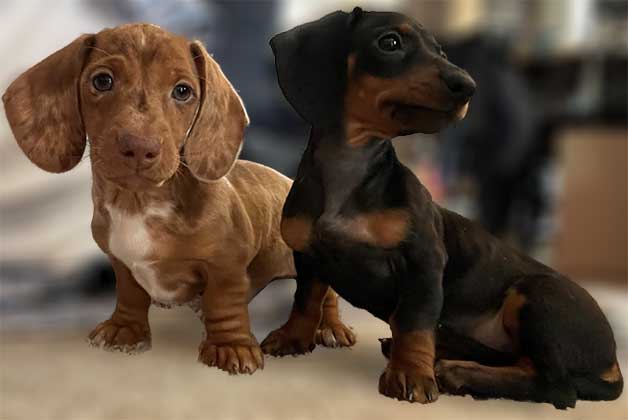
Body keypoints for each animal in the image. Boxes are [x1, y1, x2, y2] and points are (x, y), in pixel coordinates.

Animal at [2, 23, 356, 374]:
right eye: (102, 81)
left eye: (183, 91)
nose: (140, 147)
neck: (139, 203)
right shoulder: (121, 262)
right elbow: (129, 294)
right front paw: (125, 328)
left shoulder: (226, 264)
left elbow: (224, 303)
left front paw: (231, 345)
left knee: (324, 293)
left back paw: (331, 327)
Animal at [260, 7, 624, 406]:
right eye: (390, 42)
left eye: (442, 52)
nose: (468, 85)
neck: (349, 172)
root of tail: (611, 361)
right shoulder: (309, 256)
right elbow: (305, 300)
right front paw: (293, 337)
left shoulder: (424, 262)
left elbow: (414, 322)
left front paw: (411, 373)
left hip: (536, 296)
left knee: (558, 387)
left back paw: (460, 373)